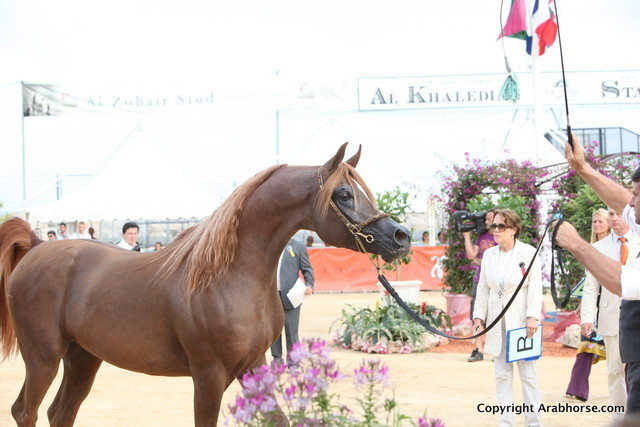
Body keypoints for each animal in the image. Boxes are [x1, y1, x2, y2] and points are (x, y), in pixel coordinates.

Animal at [0, 143, 411, 426]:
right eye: (343, 195)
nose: (401, 236)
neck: (228, 277)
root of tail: (36, 246)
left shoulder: (253, 367)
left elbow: (278, 419)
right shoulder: (208, 376)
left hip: (83, 358)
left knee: (60, 412)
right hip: (43, 357)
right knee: (25, 411)